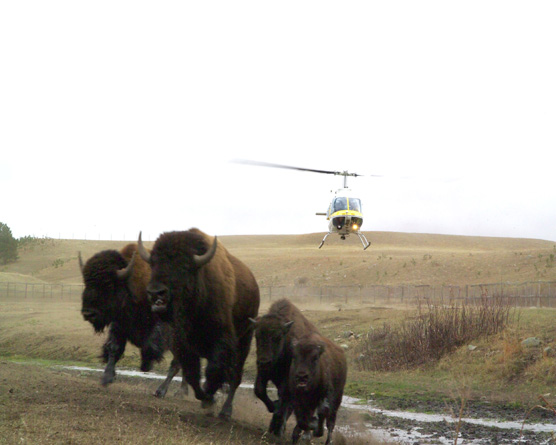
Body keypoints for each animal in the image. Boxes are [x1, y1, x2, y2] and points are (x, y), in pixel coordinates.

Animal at [78, 243, 187, 396]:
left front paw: (146, 364)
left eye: (108, 284)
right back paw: (181, 391)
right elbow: (114, 348)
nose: (88, 313)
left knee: (177, 363)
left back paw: (162, 391)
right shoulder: (119, 325)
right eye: (86, 282)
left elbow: (150, 345)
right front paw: (107, 378)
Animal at [138, 227, 262, 418]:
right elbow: (191, 373)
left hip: (245, 339)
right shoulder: (184, 344)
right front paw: (206, 399)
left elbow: (213, 371)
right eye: (153, 263)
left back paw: (226, 411)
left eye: (183, 267)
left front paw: (210, 397)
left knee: (236, 376)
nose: (155, 292)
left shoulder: (222, 340)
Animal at [250, 296, 320, 436]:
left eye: (277, 337)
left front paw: (277, 419)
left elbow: (284, 397)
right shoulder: (263, 372)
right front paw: (273, 407)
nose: (264, 362)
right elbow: (259, 390)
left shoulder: (287, 380)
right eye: (257, 335)